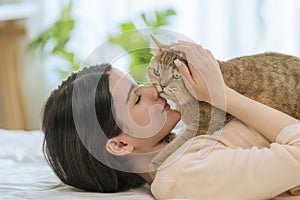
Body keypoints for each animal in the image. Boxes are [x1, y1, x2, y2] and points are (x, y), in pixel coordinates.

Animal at [148, 36, 300, 177]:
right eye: (157, 72)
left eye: (176, 76)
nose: (162, 85)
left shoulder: (205, 124)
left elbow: (177, 145)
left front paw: (156, 163)